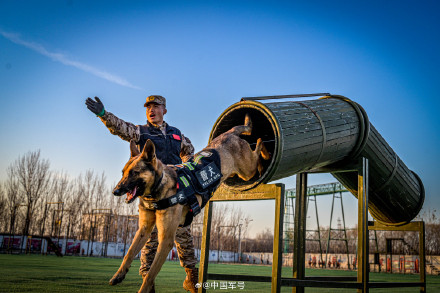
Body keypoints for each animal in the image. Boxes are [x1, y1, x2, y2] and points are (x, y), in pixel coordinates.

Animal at [108, 114, 270, 292]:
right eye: (123, 172)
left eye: (134, 173)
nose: (115, 191)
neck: (159, 186)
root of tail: (229, 134)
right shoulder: (143, 230)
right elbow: (129, 253)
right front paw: (119, 275)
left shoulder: (166, 239)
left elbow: (150, 274)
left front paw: (143, 288)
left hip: (247, 171)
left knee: (259, 145)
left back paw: (265, 156)